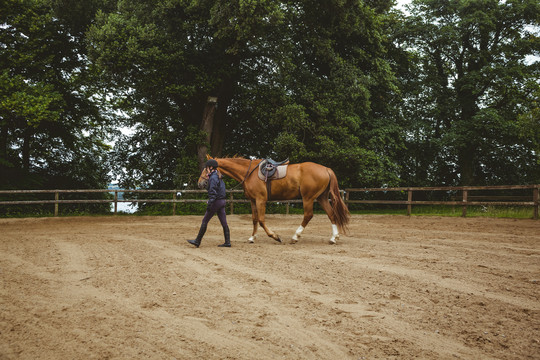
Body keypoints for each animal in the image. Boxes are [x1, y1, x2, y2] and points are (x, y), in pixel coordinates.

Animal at [198, 157, 350, 245]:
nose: (200, 183)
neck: (249, 173)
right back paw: (333, 238)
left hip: (308, 198)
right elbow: (254, 219)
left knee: (308, 216)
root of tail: (326, 168)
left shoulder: (261, 200)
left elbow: (261, 220)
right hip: (321, 197)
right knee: (331, 214)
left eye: (206, 168)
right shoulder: (253, 200)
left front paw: (275, 236)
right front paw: (252, 238)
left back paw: (295, 237)